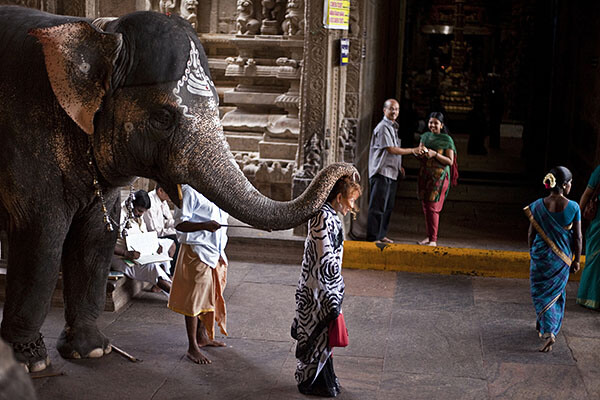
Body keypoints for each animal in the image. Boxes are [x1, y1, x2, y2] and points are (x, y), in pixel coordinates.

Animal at [0, 5, 356, 376]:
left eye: (218, 107)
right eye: (162, 117)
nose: (348, 171)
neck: (101, 32)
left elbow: (97, 235)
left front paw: (92, 351)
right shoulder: (27, 139)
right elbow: (42, 237)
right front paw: (31, 362)